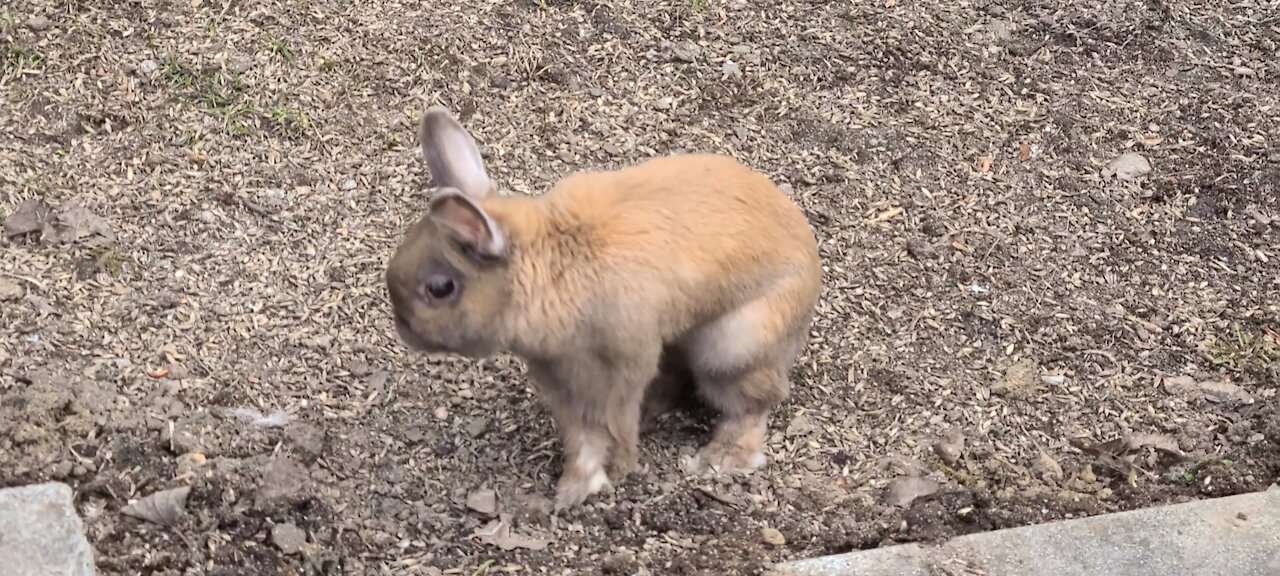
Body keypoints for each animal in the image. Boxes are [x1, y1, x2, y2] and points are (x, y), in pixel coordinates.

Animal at [384, 105, 824, 512]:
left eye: (440, 288)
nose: (403, 328)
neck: (546, 267)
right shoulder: (563, 381)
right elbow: (582, 436)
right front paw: (572, 489)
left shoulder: (616, 372)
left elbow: (611, 426)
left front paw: (609, 477)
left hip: (731, 348)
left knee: (754, 402)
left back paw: (720, 458)